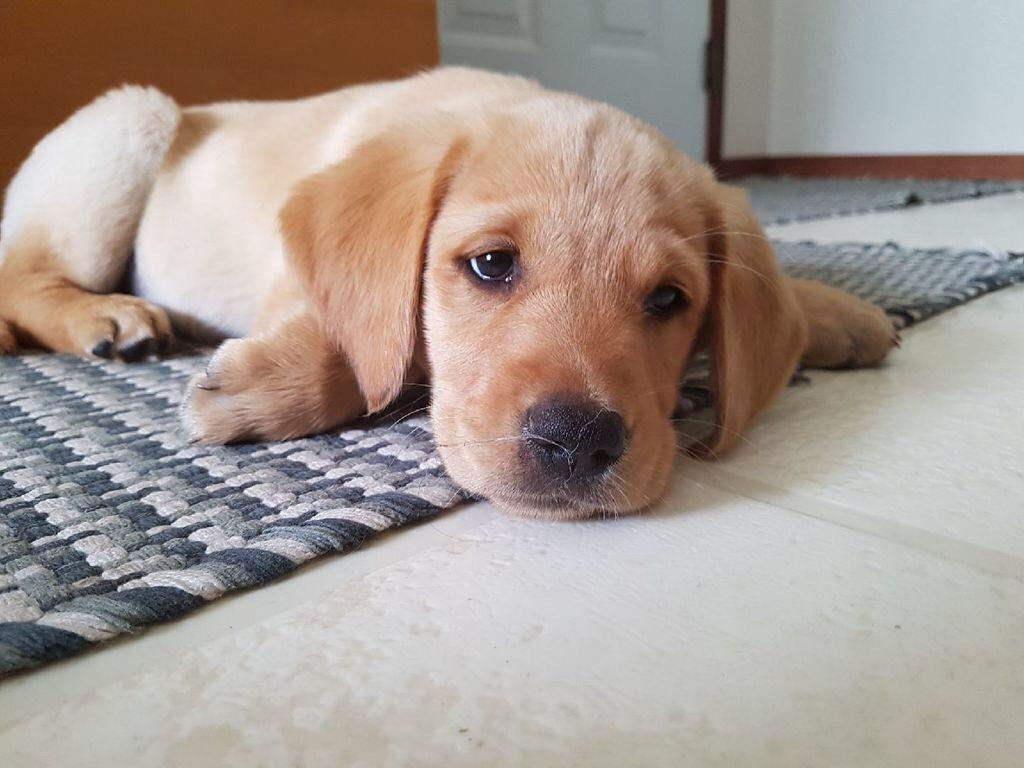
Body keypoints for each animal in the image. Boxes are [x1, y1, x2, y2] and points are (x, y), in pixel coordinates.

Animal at [0, 67, 896, 519]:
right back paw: (111, 317)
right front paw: (260, 390)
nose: (578, 443)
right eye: (492, 264)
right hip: (131, 123)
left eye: (670, 301)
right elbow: (368, 345)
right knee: (23, 276)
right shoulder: (295, 269)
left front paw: (841, 316)